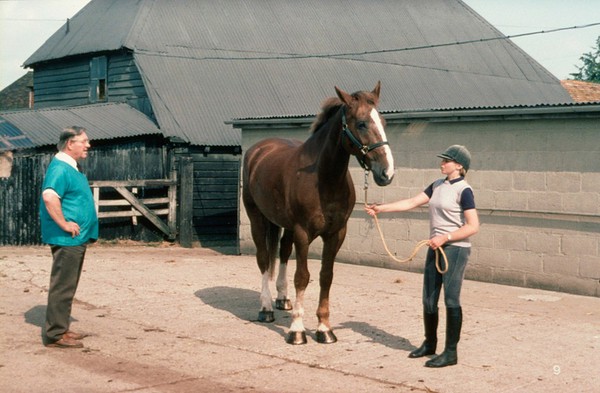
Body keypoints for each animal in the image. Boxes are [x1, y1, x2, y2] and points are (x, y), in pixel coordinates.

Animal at [243, 82, 394, 344]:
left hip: (285, 226)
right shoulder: (303, 233)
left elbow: (326, 275)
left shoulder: (336, 234)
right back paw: (266, 309)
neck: (324, 179)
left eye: (383, 122)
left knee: (283, 253)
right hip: (257, 219)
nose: (387, 172)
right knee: (263, 258)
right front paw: (297, 330)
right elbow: (302, 276)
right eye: (361, 123)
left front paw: (324, 328)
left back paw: (282, 299)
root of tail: (258, 150)